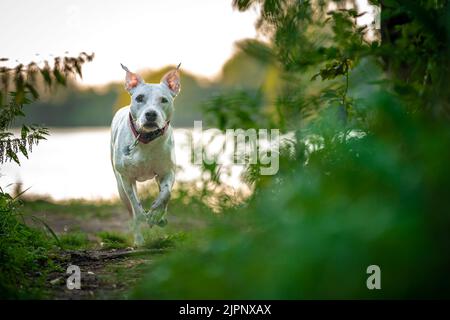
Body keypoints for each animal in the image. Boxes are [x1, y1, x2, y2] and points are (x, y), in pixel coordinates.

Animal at [110, 64, 180, 245]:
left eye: (164, 100)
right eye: (139, 98)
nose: (151, 114)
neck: (146, 139)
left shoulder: (167, 172)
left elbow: (166, 193)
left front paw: (156, 214)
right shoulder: (126, 178)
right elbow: (135, 203)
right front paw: (143, 215)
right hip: (119, 186)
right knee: (131, 212)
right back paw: (139, 240)